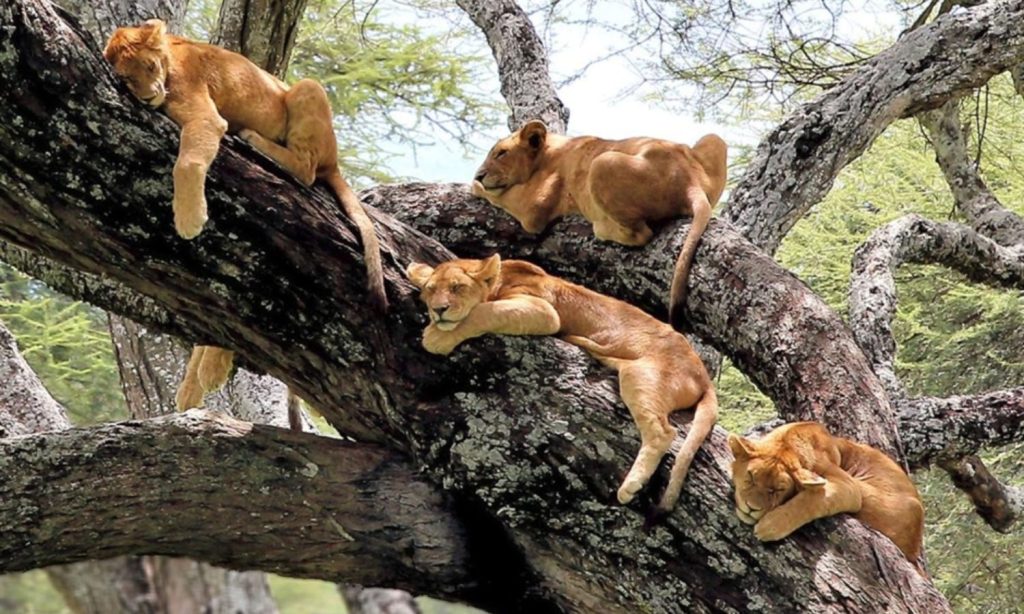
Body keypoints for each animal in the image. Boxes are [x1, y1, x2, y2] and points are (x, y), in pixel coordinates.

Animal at [403, 251, 716, 511]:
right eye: (430, 290)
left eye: (457, 288)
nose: (438, 310)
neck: (500, 280)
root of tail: (704, 377)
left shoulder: (543, 310)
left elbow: (484, 311)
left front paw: (437, 337)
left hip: (640, 376)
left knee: (663, 432)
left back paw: (630, 487)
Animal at [471, 120, 729, 331]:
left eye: (501, 153)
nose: (479, 174)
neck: (549, 152)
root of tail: (689, 181)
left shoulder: (534, 207)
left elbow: (500, 195)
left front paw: (476, 185)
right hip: (714, 140)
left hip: (602, 162)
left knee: (640, 233)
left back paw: (601, 227)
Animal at [729, 421, 929, 577]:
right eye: (751, 476)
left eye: (778, 490)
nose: (751, 508)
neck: (790, 437)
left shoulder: (848, 486)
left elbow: (812, 499)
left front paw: (771, 525)